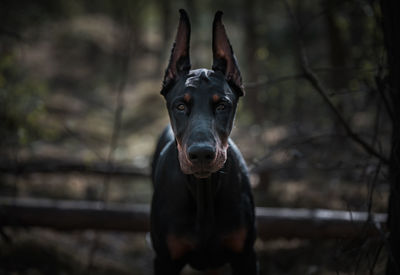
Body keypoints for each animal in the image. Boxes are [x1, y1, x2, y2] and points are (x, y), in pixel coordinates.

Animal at [150, 9, 256, 274]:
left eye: (222, 106)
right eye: (180, 106)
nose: (201, 155)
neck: (204, 189)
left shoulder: (245, 256)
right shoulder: (165, 260)